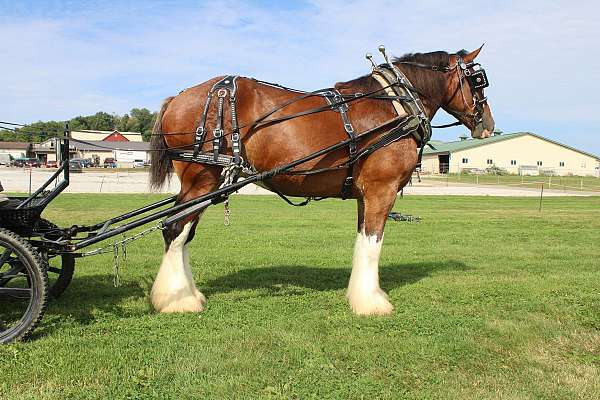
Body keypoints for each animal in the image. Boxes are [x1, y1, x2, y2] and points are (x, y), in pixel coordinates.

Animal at [149, 46, 492, 316]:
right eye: (478, 80)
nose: (488, 124)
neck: (395, 105)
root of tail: (179, 97)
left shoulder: (364, 195)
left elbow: (362, 241)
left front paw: (360, 295)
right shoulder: (381, 190)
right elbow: (373, 243)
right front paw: (371, 303)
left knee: (182, 233)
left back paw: (188, 293)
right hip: (202, 180)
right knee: (174, 229)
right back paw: (177, 300)